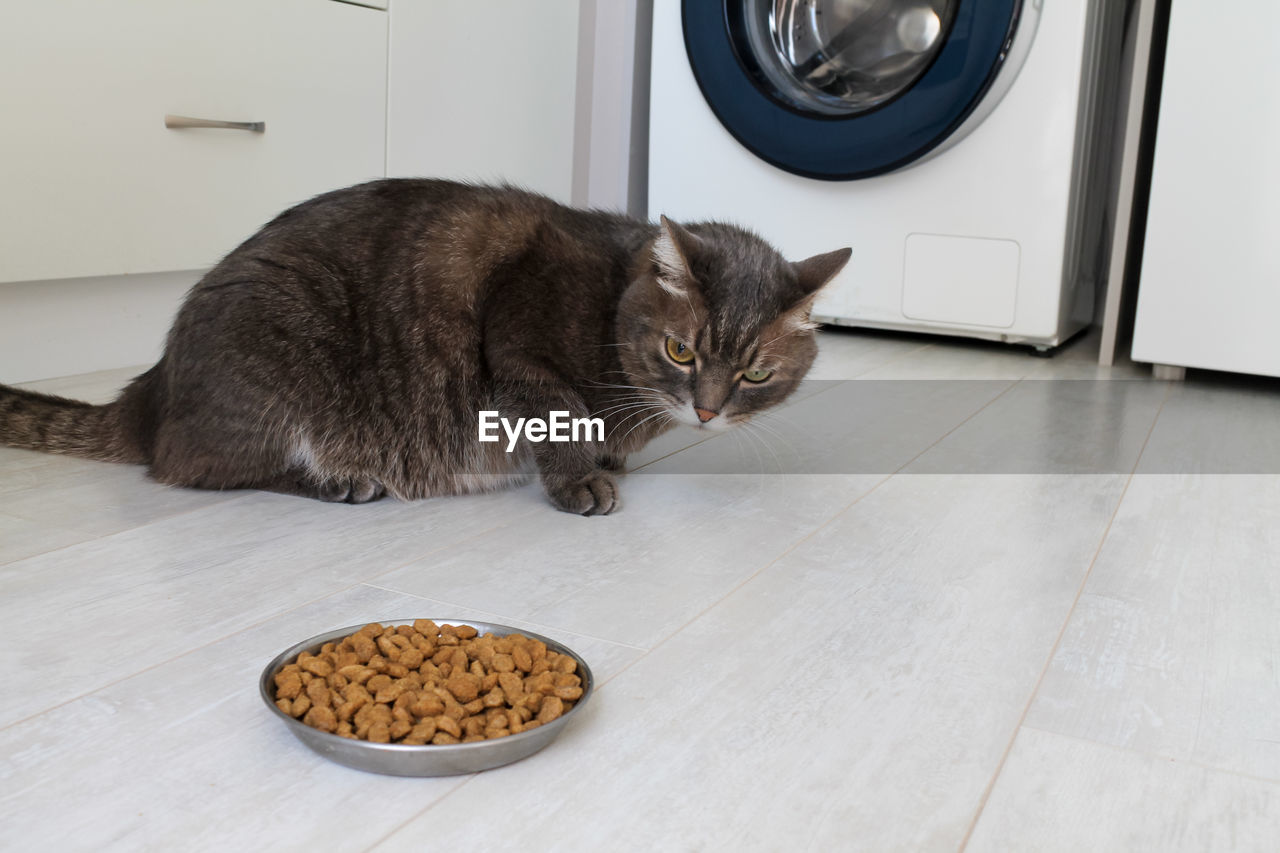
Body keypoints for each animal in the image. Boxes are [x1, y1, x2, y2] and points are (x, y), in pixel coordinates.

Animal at [0, 178, 849, 512]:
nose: (706, 410)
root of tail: (150, 387)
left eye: (755, 373)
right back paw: (340, 479)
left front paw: (608, 461)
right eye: (681, 352)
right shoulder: (517, 333)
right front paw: (581, 477)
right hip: (276, 351)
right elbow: (558, 413)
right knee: (193, 466)